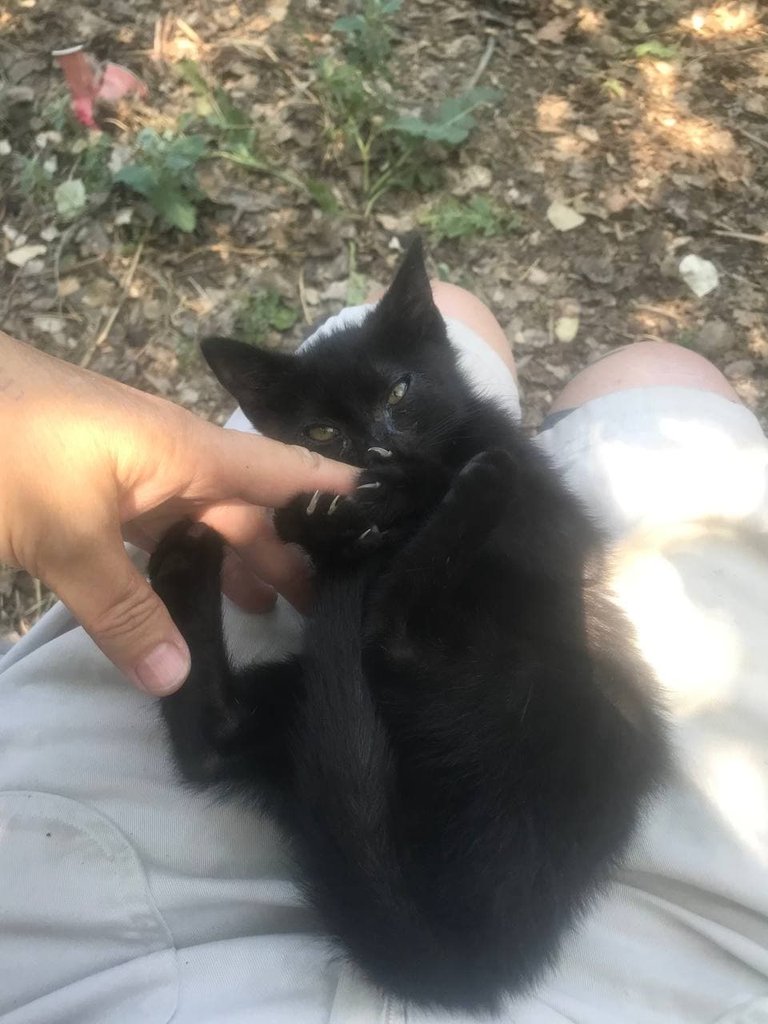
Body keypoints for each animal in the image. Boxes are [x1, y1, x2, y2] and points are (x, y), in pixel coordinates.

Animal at [150, 241, 667, 1015]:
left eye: (399, 392)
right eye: (322, 432)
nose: (377, 448)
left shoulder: (545, 530)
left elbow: (449, 483)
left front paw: (398, 487)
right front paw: (335, 512)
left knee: (383, 635)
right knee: (233, 732)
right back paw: (190, 563)